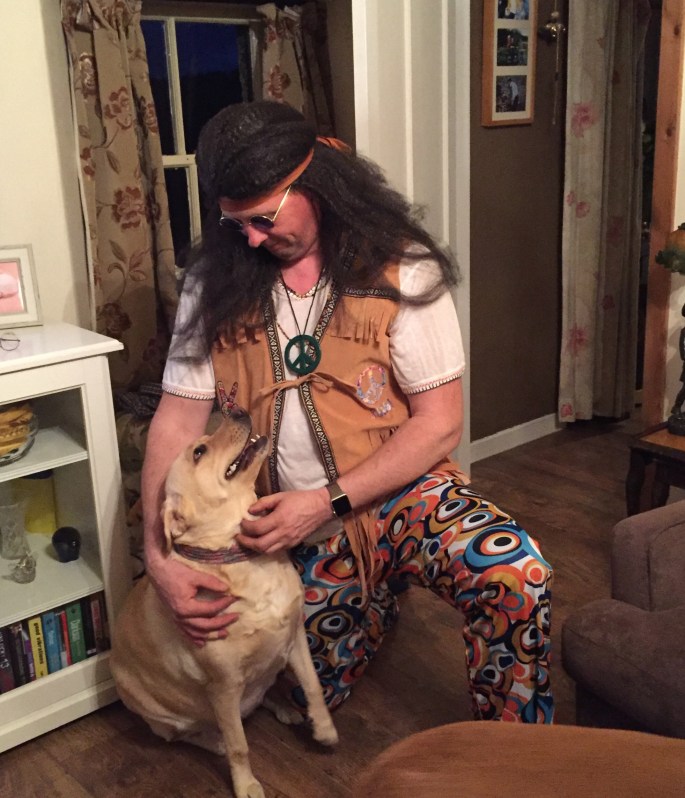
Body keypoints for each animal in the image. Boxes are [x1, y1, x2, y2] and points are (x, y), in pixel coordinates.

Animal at [111, 404, 338, 798]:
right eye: (199, 452)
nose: (239, 410)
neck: (241, 558)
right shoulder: (224, 685)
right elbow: (239, 745)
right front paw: (246, 784)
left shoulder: (295, 639)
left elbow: (312, 686)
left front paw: (323, 728)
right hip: (156, 708)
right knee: (185, 734)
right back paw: (213, 739)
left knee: (264, 692)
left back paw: (284, 708)